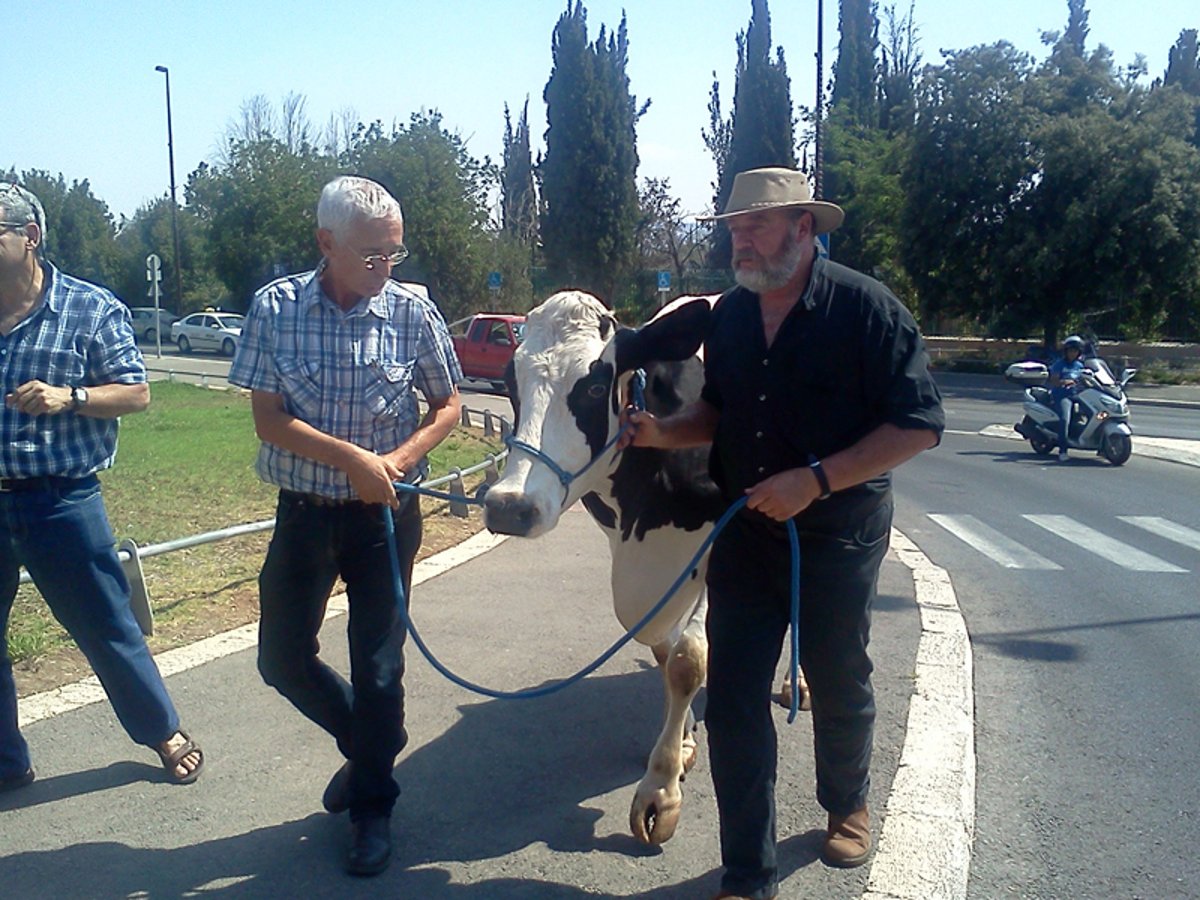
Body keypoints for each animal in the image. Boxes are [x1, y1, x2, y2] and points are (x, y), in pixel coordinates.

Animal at [482, 292, 724, 849]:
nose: (509, 507)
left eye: (594, 386)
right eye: (511, 382)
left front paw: (660, 790)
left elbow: (688, 660)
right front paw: (682, 743)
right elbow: (660, 646)